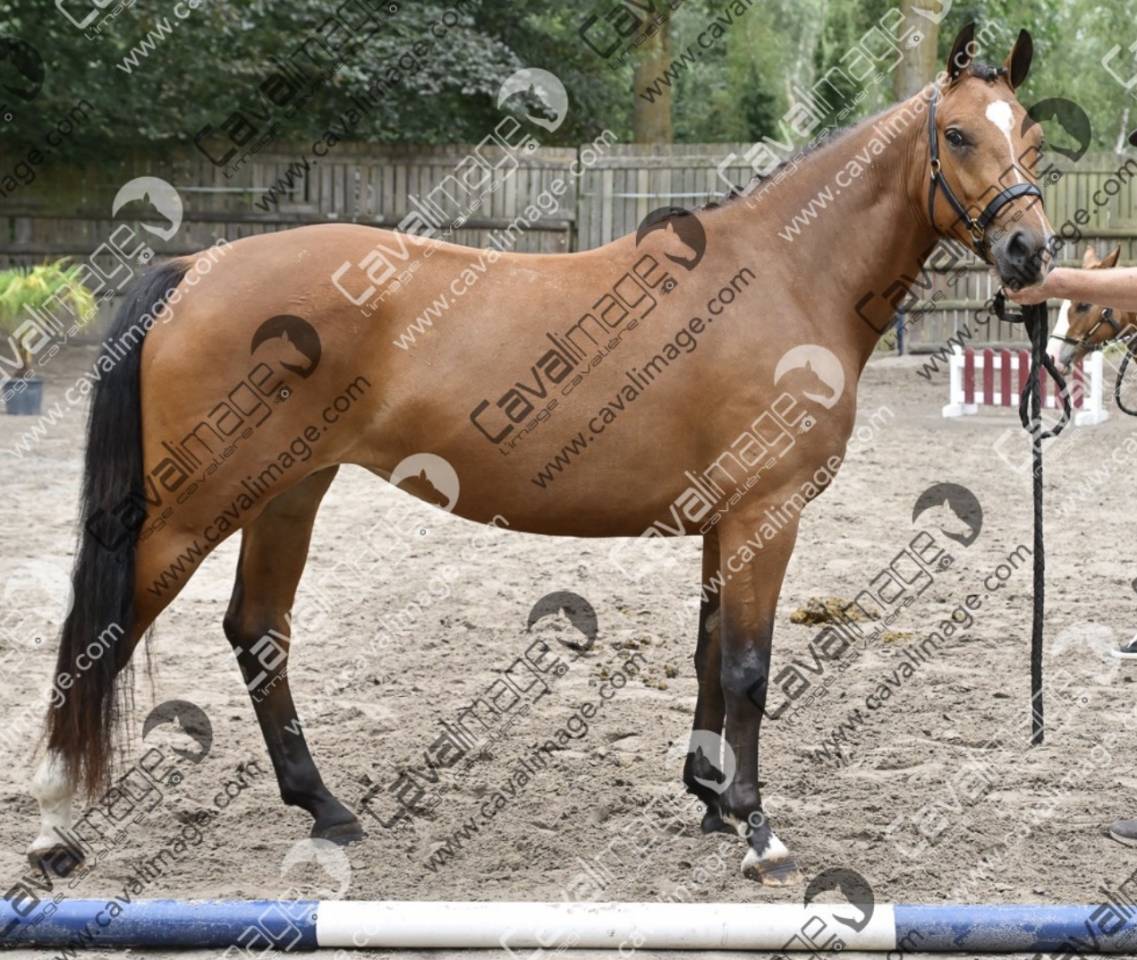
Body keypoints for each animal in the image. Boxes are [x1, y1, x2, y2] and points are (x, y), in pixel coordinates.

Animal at [29, 24, 1053, 885]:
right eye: (957, 134)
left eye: (1033, 136)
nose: (1027, 250)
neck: (787, 275)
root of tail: (197, 268)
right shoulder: (767, 511)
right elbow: (749, 668)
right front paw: (759, 832)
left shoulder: (723, 518)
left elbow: (707, 652)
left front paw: (710, 799)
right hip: (194, 506)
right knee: (105, 637)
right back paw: (55, 828)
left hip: (289, 490)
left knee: (258, 631)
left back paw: (323, 807)